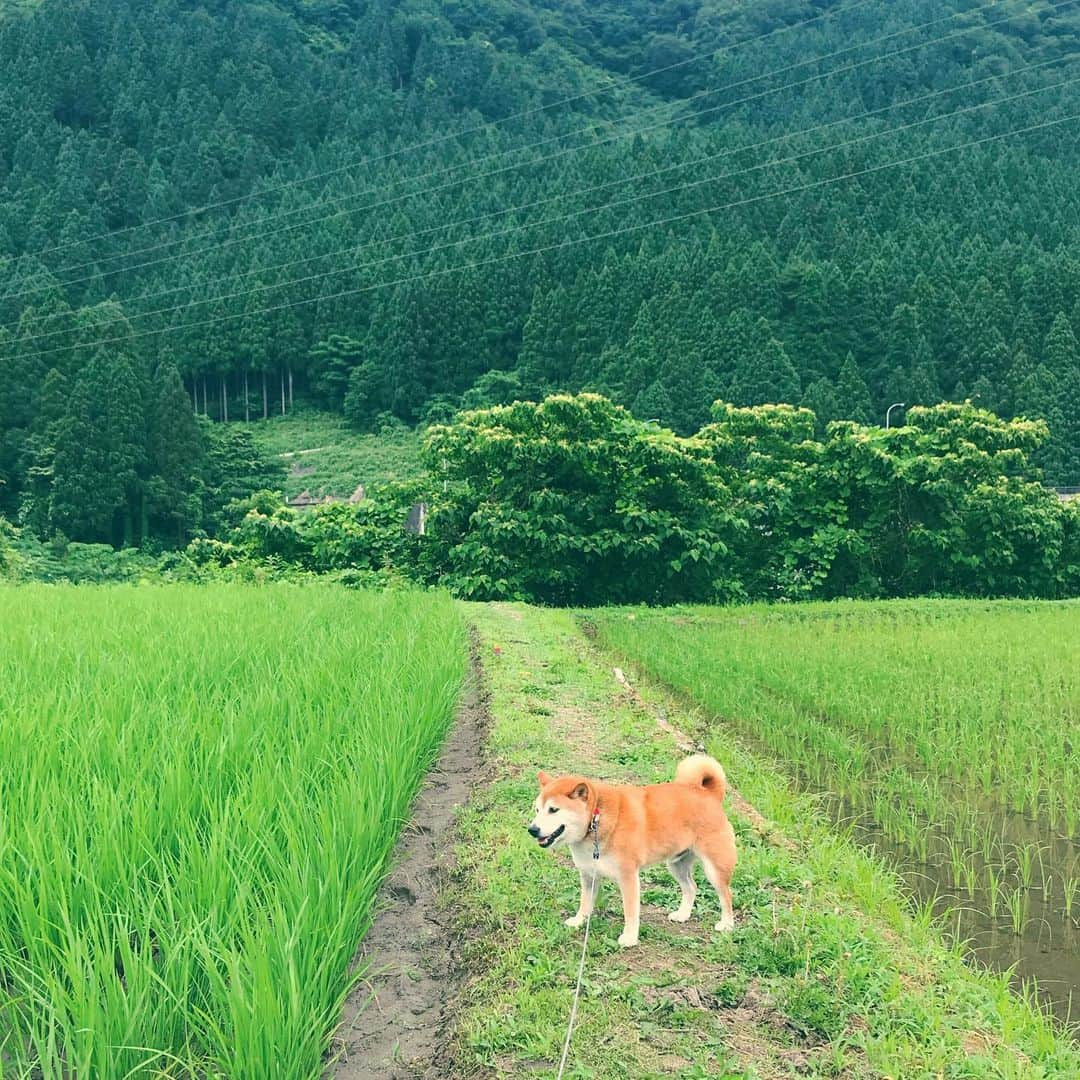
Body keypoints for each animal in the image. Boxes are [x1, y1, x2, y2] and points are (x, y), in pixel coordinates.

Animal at [527, 756, 738, 950]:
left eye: (553, 809)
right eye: (537, 809)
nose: (532, 829)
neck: (596, 820)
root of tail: (709, 794)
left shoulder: (628, 876)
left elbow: (630, 911)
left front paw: (629, 938)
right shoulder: (589, 874)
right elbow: (585, 902)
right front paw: (579, 921)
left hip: (715, 868)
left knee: (726, 896)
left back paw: (727, 925)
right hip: (676, 864)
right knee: (692, 887)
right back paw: (683, 915)